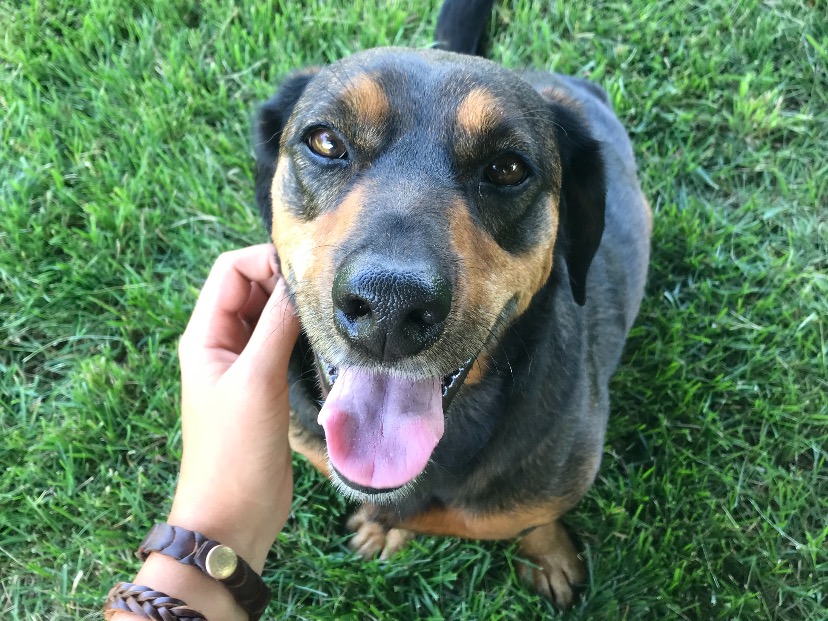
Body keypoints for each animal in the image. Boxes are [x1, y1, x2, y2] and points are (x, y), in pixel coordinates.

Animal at [251, 0, 648, 604]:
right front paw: (384, 527)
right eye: (325, 142)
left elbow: (537, 519)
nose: (390, 307)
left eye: (508, 168)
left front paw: (549, 554)